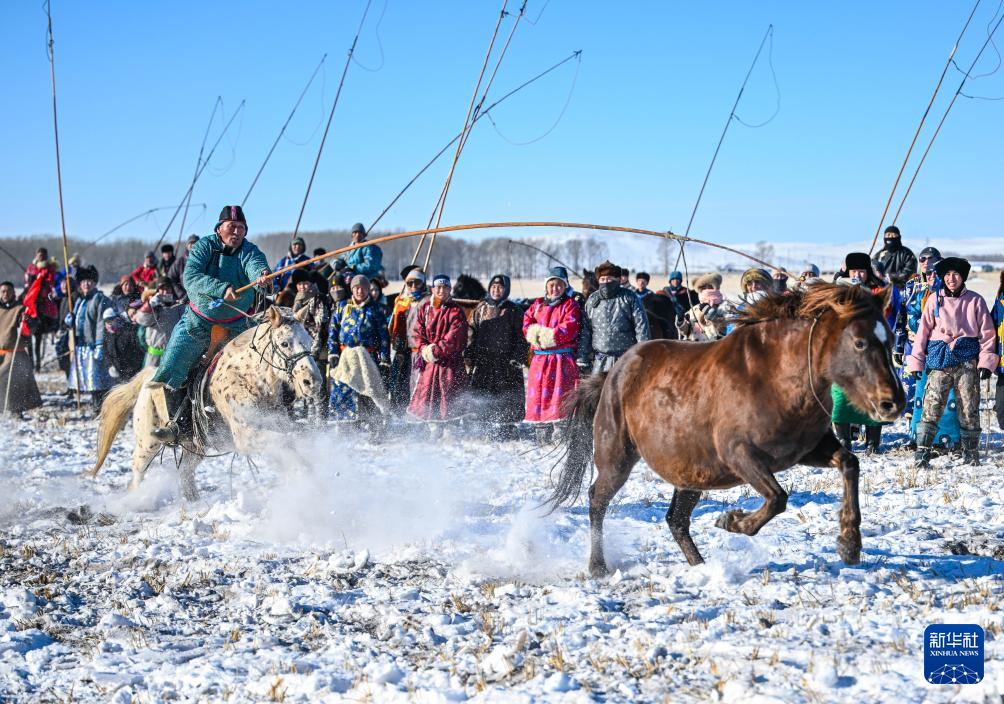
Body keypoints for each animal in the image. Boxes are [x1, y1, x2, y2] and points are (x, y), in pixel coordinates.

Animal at [89, 307, 319, 500]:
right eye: (285, 343)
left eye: (309, 341)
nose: (312, 381)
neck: (248, 378)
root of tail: (148, 377)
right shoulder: (246, 435)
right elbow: (285, 443)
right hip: (148, 440)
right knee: (138, 469)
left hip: (194, 445)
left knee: (185, 471)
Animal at [546, 283, 907, 574]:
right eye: (859, 343)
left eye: (890, 339)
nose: (894, 402)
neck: (776, 376)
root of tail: (613, 373)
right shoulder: (740, 455)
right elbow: (778, 498)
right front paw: (731, 520)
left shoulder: (808, 448)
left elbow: (849, 463)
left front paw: (849, 544)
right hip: (617, 458)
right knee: (597, 499)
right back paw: (598, 566)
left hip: (690, 473)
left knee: (676, 519)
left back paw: (701, 567)